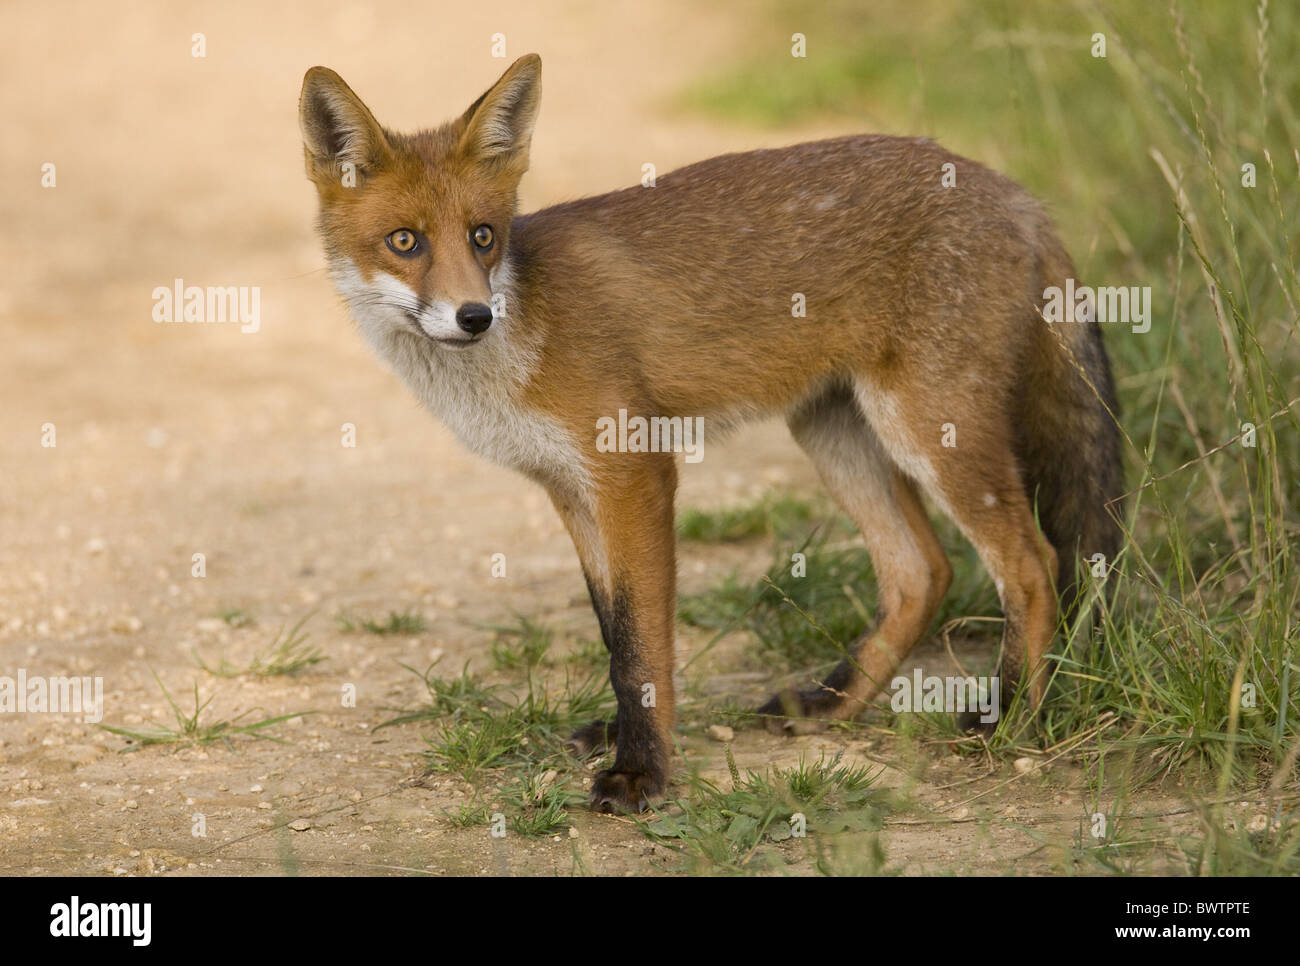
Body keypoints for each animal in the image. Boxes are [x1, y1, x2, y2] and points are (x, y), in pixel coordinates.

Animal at [298, 54, 1122, 814]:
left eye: (483, 237)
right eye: (404, 241)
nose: (474, 317)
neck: (516, 346)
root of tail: (1013, 189)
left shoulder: (634, 472)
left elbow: (642, 646)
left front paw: (642, 774)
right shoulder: (569, 488)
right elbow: (617, 635)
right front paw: (628, 738)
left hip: (926, 426)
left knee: (1033, 565)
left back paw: (1009, 716)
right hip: (833, 431)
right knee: (922, 571)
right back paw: (834, 703)